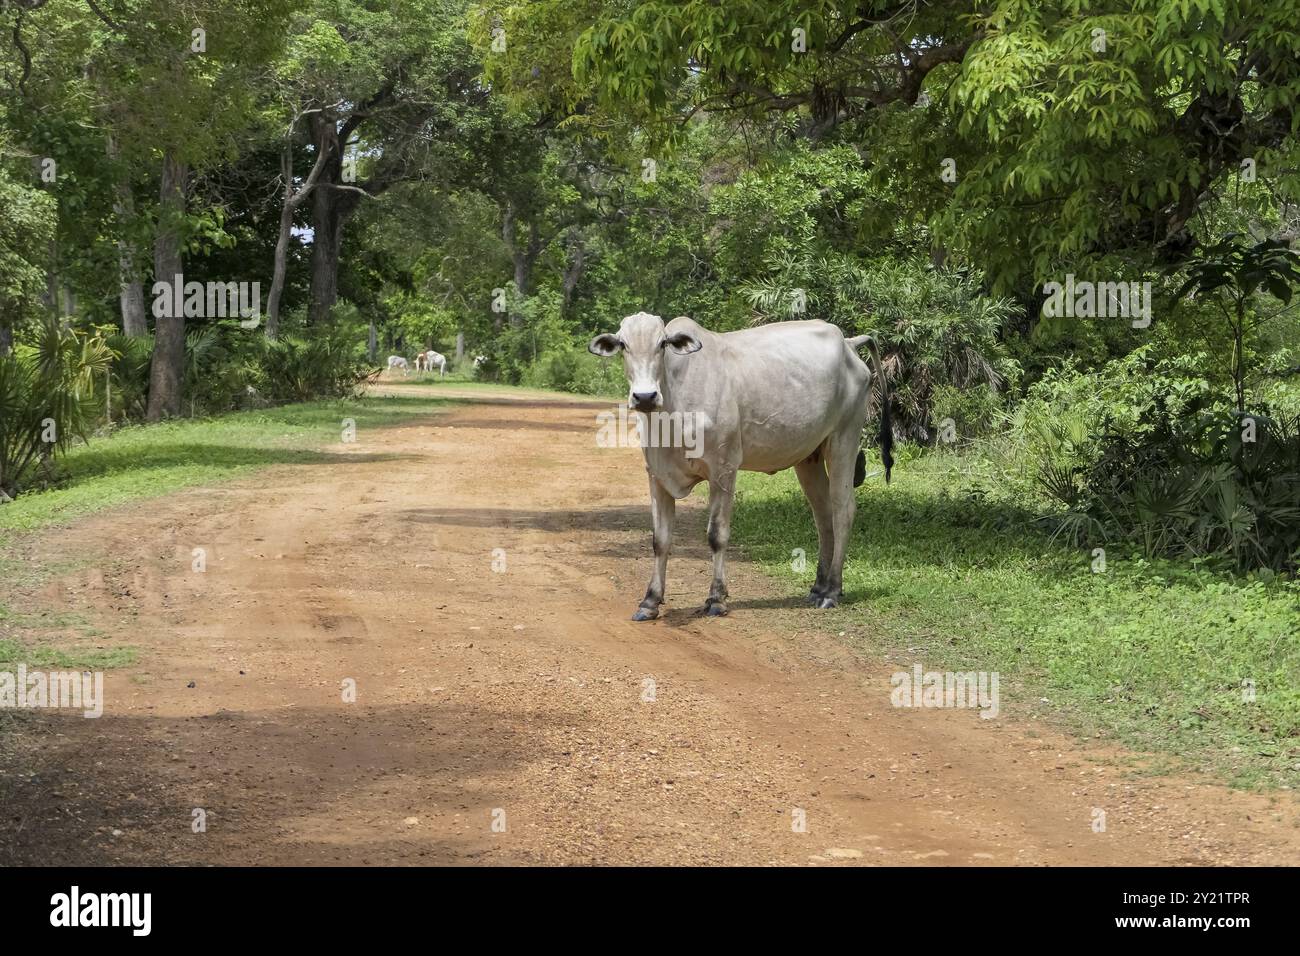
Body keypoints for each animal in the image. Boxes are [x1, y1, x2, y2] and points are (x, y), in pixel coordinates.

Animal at [592, 312, 889, 621]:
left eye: (662, 344)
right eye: (623, 345)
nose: (645, 397)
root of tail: (849, 343)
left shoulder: (723, 470)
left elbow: (717, 535)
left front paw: (716, 598)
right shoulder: (657, 476)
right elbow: (660, 540)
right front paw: (650, 601)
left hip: (844, 438)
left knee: (843, 510)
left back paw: (832, 590)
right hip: (810, 457)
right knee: (823, 515)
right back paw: (819, 587)